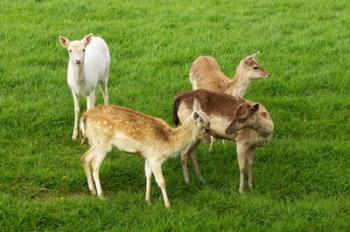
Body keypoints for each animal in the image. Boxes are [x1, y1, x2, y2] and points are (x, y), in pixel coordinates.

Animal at [79, 99, 211, 208]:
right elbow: (161, 181)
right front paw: (168, 205)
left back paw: (92, 190)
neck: (169, 142)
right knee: (95, 164)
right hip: (103, 144)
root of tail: (83, 118)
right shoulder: (155, 158)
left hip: (95, 143)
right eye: (205, 128)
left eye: (209, 124)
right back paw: (101, 195)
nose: (210, 139)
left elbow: (148, 175)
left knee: (85, 157)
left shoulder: (148, 157)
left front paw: (148, 201)